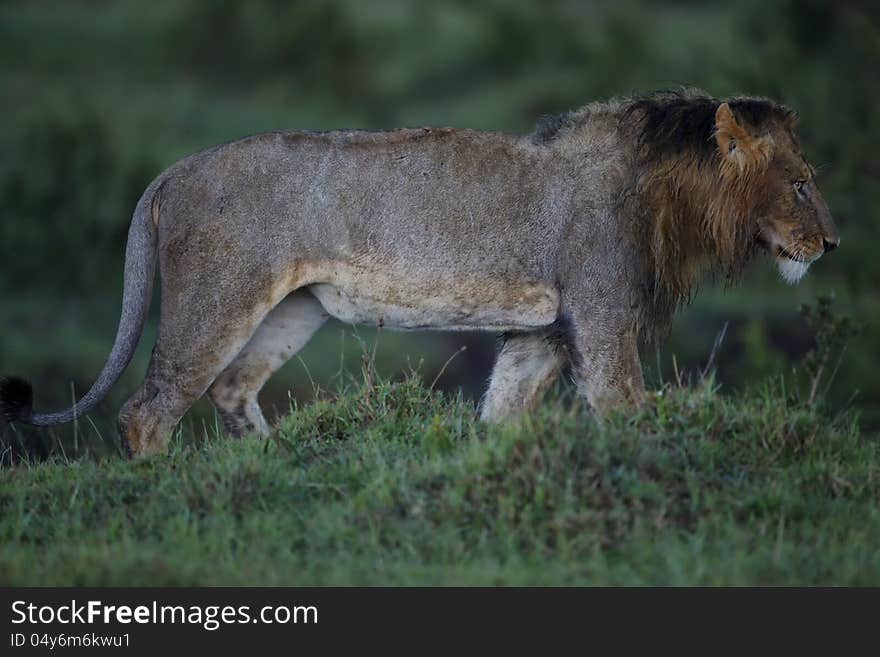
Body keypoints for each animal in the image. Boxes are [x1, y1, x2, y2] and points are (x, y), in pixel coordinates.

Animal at [0, 88, 840, 456]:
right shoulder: (601, 317)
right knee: (149, 409)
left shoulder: (545, 330)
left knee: (232, 388)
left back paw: (268, 468)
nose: (832, 244)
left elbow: (504, 412)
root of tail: (174, 169)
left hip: (294, 307)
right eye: (802, 183)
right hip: (219, 298)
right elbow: (630, 411)